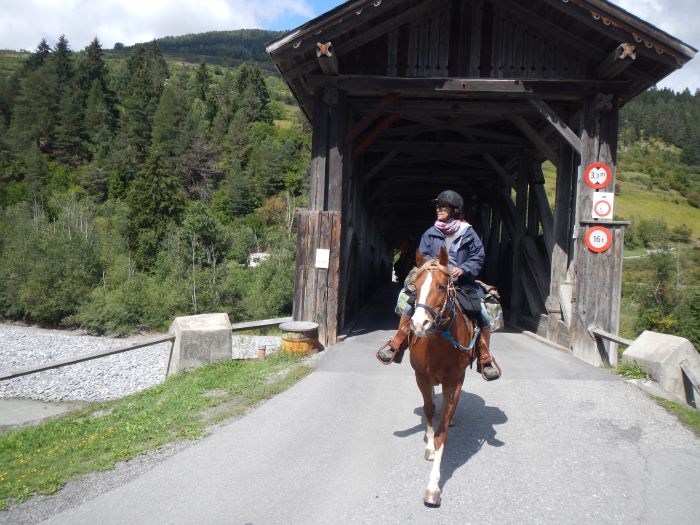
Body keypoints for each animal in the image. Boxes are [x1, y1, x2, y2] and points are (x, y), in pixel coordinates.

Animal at [408, 246, 484, 508]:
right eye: (415, 286)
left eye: (442, 286)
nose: (419, 324)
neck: (440, 344)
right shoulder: (421, 376)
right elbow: (429, 410)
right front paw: (430, 446)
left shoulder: (455, 382)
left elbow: (443, 431)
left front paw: (433, 488)